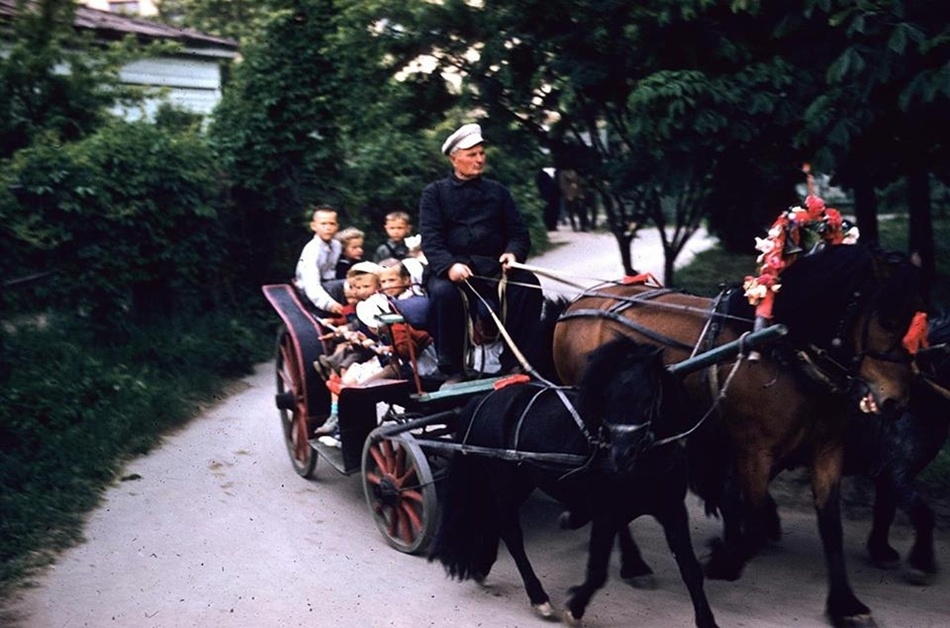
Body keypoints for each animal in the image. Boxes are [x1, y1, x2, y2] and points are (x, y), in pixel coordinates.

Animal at [428, 338, 716, 628]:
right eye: (607, 397)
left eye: (647, 398)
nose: (622, 455)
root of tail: (483, 400)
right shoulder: (607, 513)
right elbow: (598, 571)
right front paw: (575, 608)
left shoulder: (672, 509)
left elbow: (690, 569)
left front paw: (706, 619)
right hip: (506, 481)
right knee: (510, 531)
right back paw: (538, 597)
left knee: (496, 519)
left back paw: (483, 564)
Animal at [556, 243, 924, 624]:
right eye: (885, 321)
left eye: (917, 318)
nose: (897, 400)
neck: (785, 354)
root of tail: (578, 304)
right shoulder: (754, 453)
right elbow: (755, 523)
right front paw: (724, 561)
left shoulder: (827, 450)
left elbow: (830, 526)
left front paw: (844, 603)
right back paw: (632, 562)